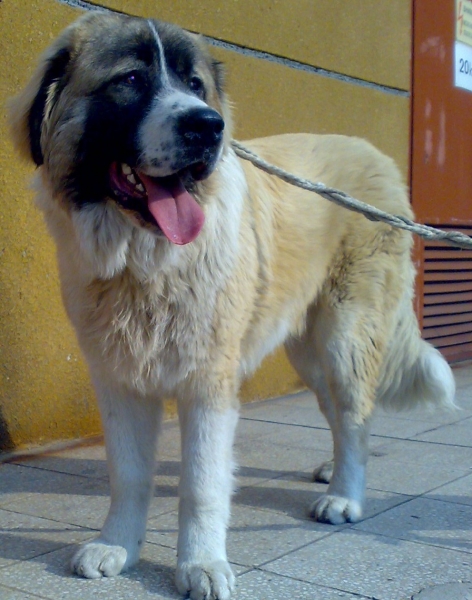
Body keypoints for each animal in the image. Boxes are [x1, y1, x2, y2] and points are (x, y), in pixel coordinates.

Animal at [10, 11, 456, 600]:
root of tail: (376, 154)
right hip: (307, 351)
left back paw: (345, 496)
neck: (145, 263)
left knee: (356, 413)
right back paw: (331, 471)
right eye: (130, 80)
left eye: (196, 86)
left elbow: (202, 483)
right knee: (339, 411)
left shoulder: (208, 382)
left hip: (345, 334)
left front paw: (201, 564)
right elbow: (128, 473)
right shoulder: (119, 378)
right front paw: (118, 545)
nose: (207, 127)